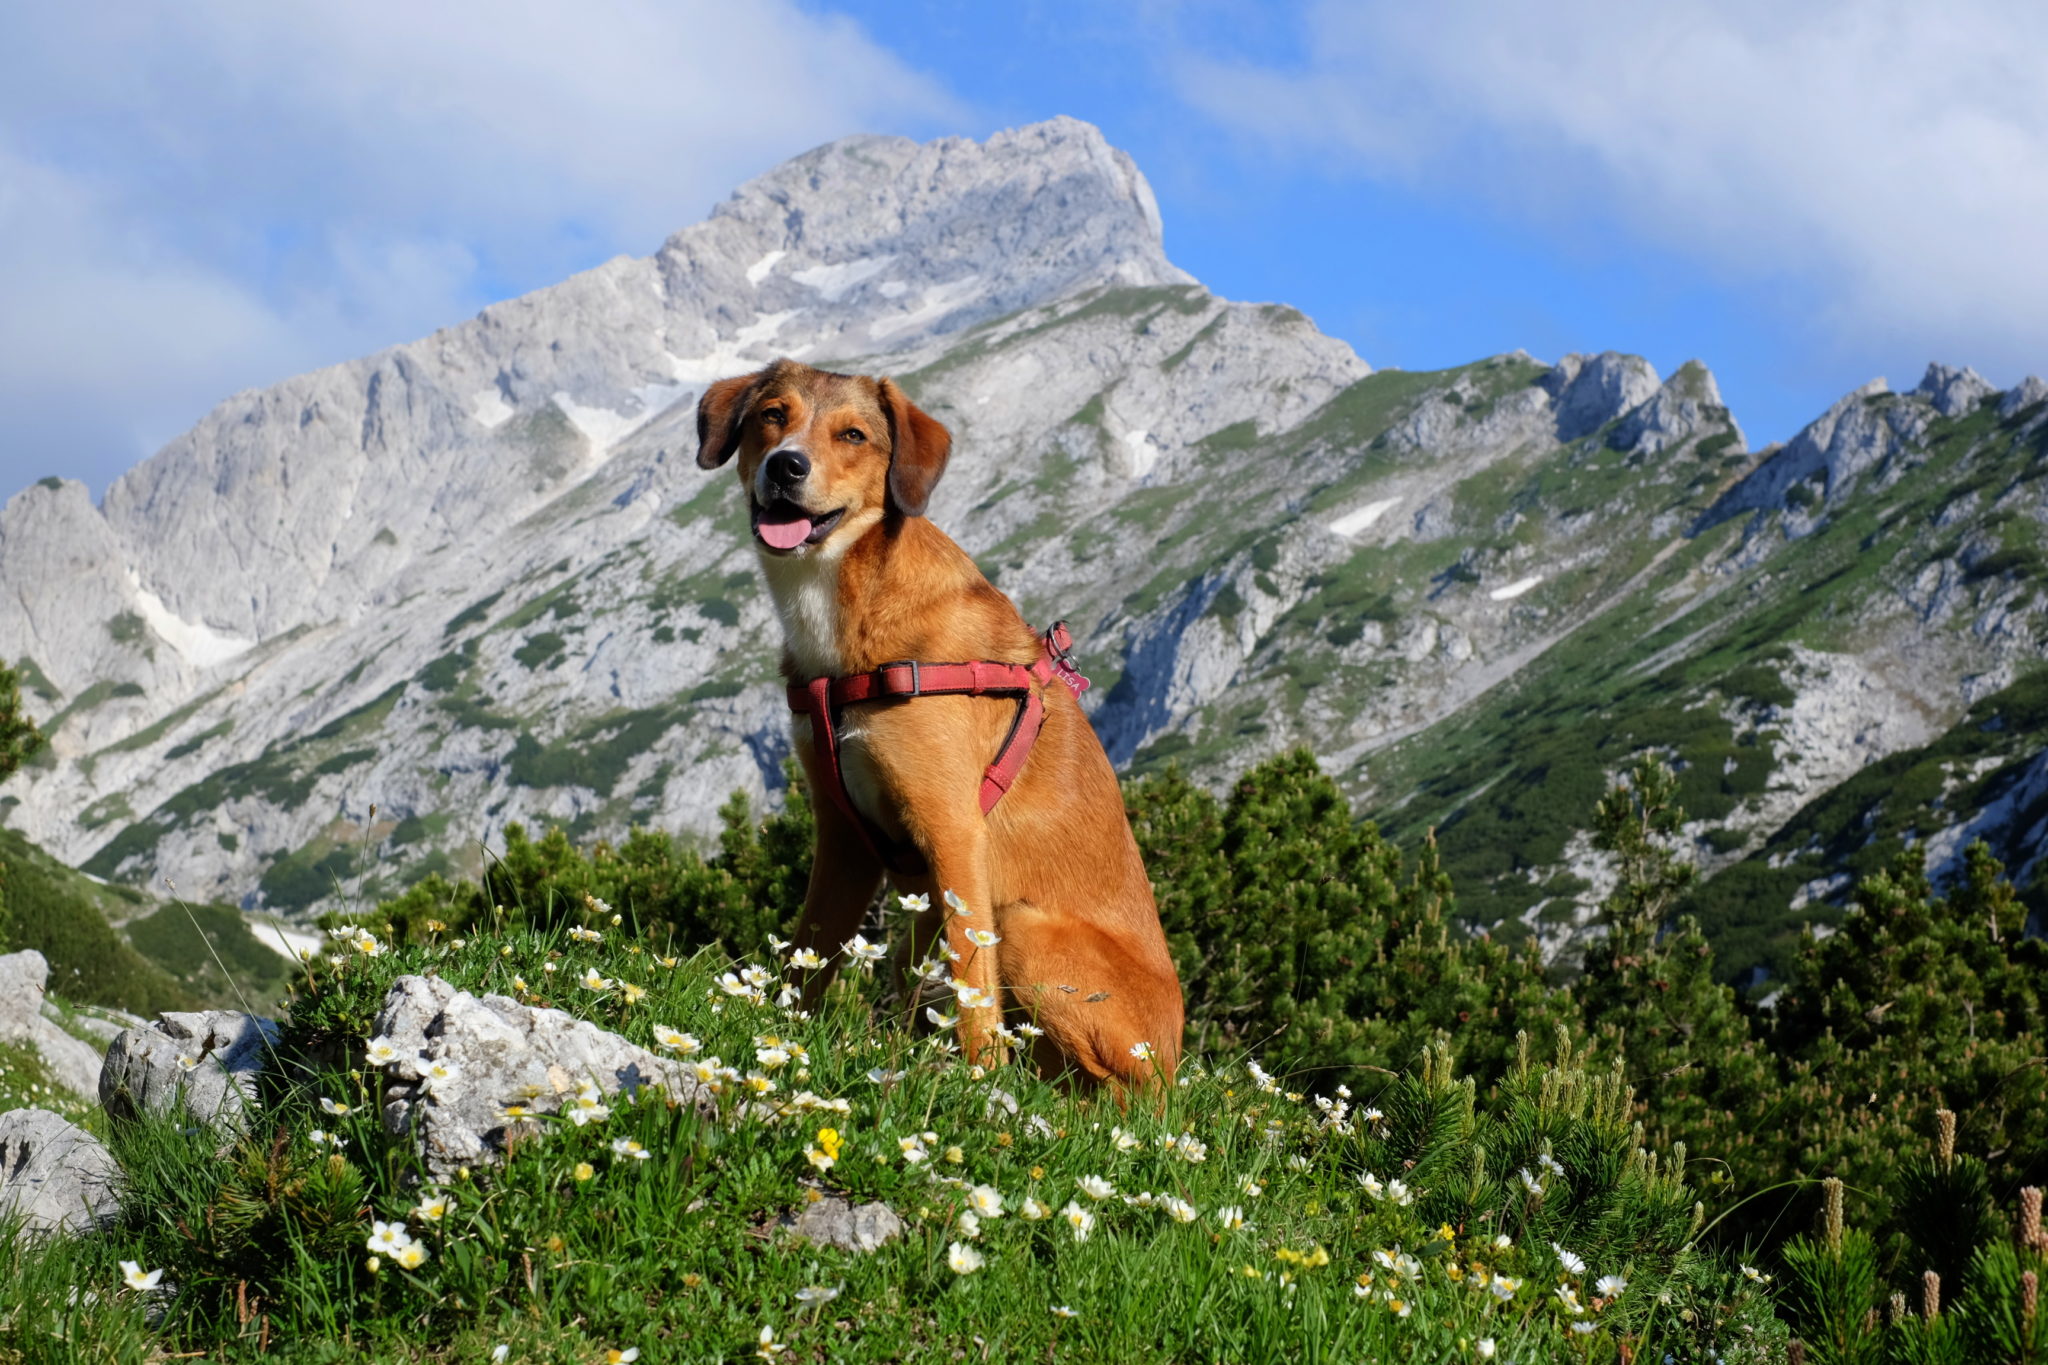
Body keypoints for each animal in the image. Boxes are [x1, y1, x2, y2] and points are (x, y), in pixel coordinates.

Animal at [704, 360, 1187, 1088]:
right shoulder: (843, 835)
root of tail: (1174, 1060)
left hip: (1025, 927)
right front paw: (778, 1031)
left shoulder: (953, 830)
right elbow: (809, 952)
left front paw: (979, 1080)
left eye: (853, 435)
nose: (786, 466)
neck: (851, 607)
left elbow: (972, 989)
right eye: (771, 415)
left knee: (1104, 1091)